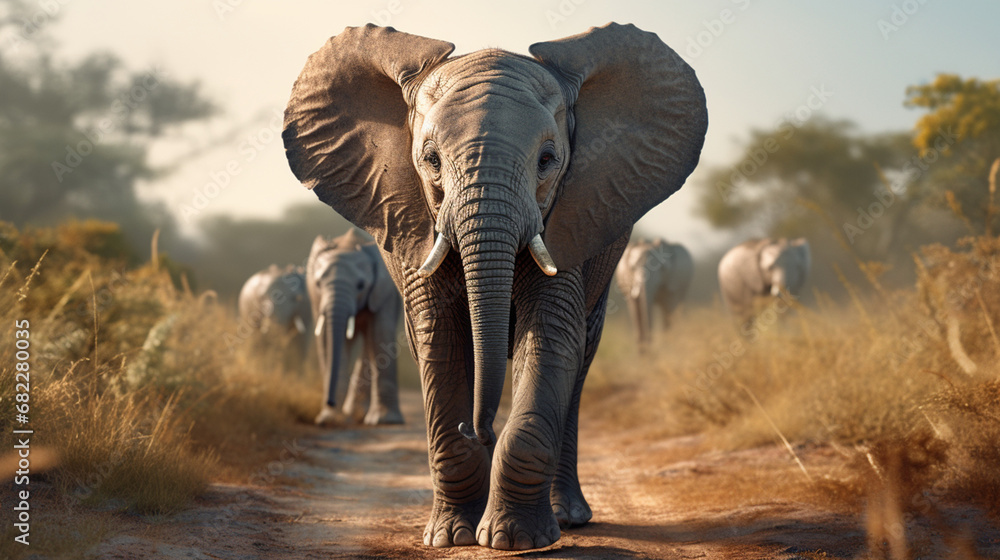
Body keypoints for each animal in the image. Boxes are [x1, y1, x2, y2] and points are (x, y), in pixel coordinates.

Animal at [307, 228, 405, 426]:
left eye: (361, 285)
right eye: (318, 284)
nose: (330, 401)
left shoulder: (384, 291)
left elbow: (381, 333)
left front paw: (386, 421)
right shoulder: (316, 298)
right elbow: (328, 340)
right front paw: (330, 420)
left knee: (370, 340)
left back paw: (359, 413)